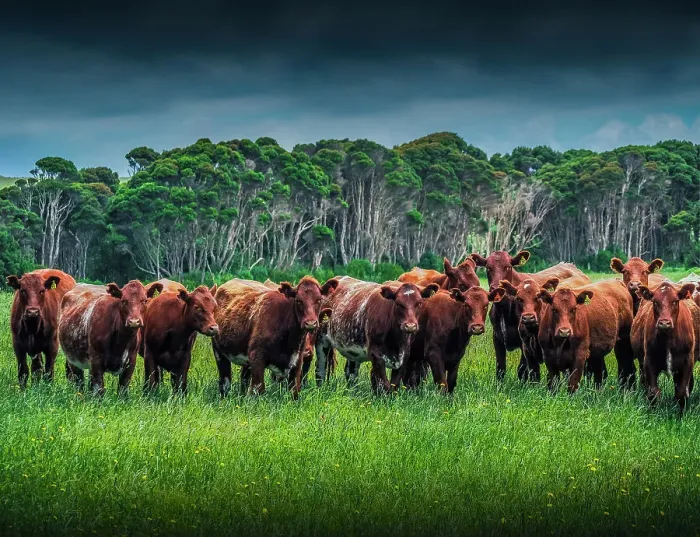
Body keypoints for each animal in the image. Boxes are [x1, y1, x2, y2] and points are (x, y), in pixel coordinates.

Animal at [470, 249, 589, 381]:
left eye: (508, 267)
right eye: (488, 268)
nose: (495, 287)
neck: (505, 311)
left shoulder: (524, 344)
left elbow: (522, 370)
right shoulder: (497, 338)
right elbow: (500, 369)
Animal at [631, 282, 700, 413]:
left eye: (675, 301)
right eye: (654, 301)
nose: (664, 323)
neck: (668, 339)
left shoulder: (688, 361)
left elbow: (682, 392)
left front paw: (680, 414)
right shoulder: (649, 360)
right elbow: (653, 392)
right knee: (644, 382)